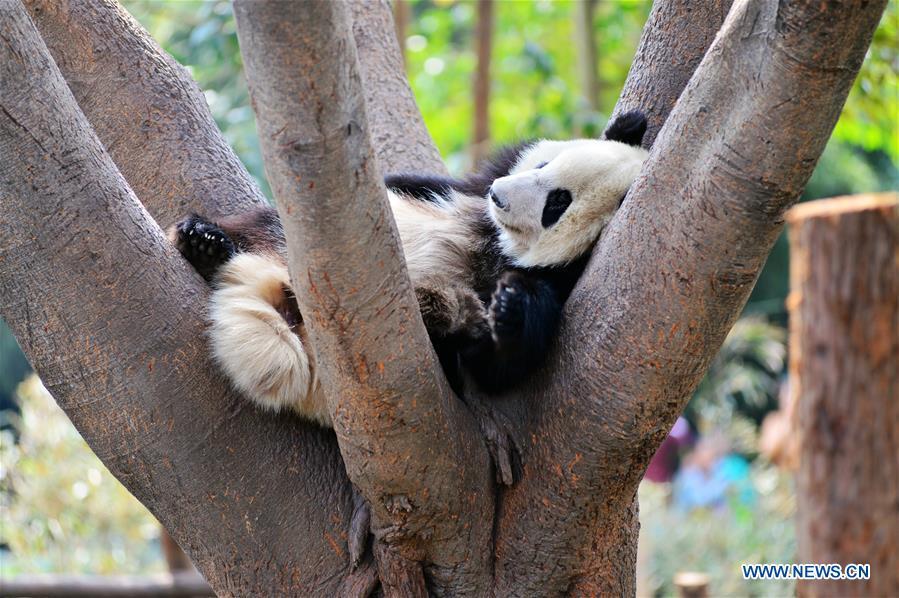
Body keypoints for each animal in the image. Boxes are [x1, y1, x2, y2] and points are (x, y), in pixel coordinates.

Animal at [169, 111, 648, 426]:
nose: (500, 195)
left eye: (556, 204)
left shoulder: (559, 281)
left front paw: (512, 307)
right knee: (258, 225)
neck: (499, 243)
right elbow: (411, 183)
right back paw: (205, 243)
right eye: (544, 164)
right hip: (282, 243)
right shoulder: (465, 189)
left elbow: (498, 369)